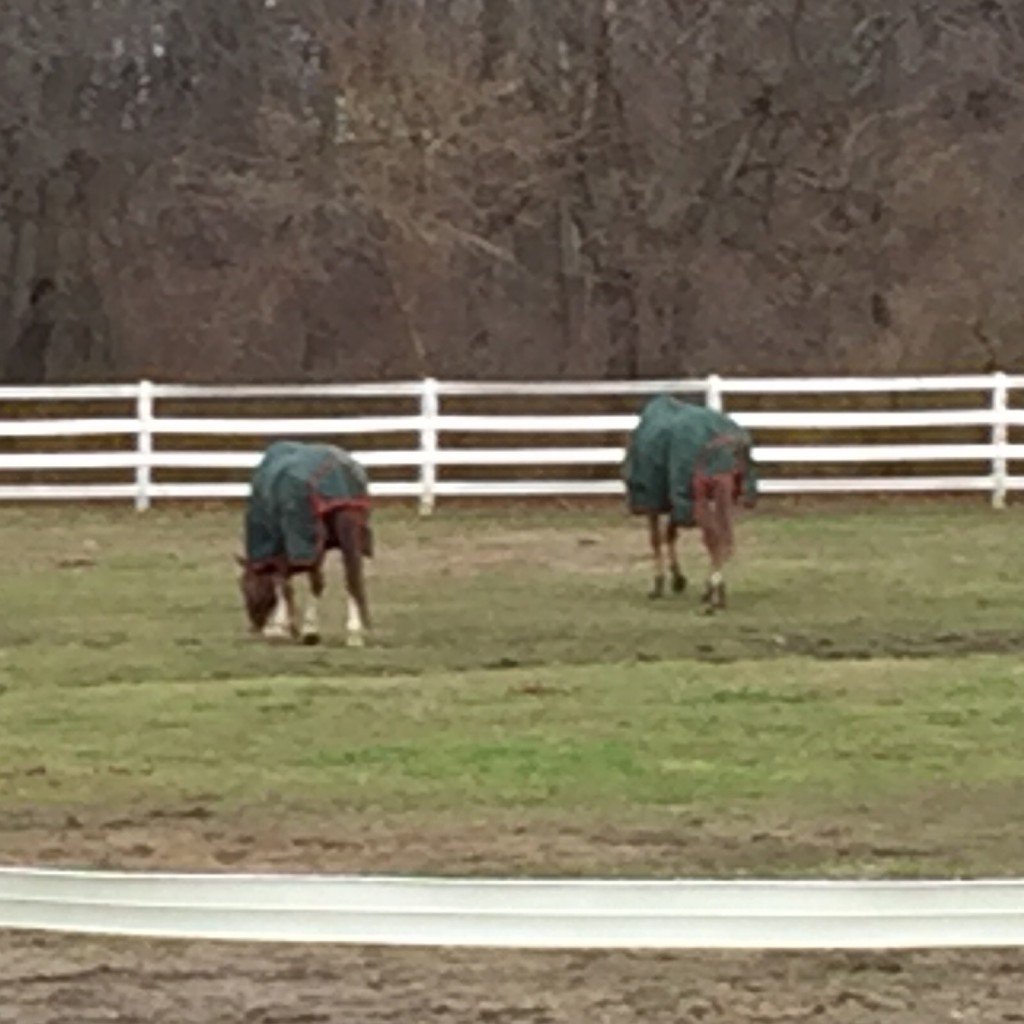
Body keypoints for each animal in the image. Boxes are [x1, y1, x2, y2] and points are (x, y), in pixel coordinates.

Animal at [237, 440, 374, 647]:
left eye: (245, 586)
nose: (254, 627)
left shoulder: (284, 546)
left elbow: (282, 584)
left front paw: (280, 628)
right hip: (344, 537)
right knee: (350, 577)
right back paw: (351, 633)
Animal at [618, 395, 757, 610]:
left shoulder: (655, 502)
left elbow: (655, 539)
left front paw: (659, 584)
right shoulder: (675, 501)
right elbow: (670, 534)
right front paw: (678, 579)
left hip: (696, 498)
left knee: (715, 538)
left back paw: (711, 594)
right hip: (722, 495)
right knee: (724, 539)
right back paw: (716, 593)